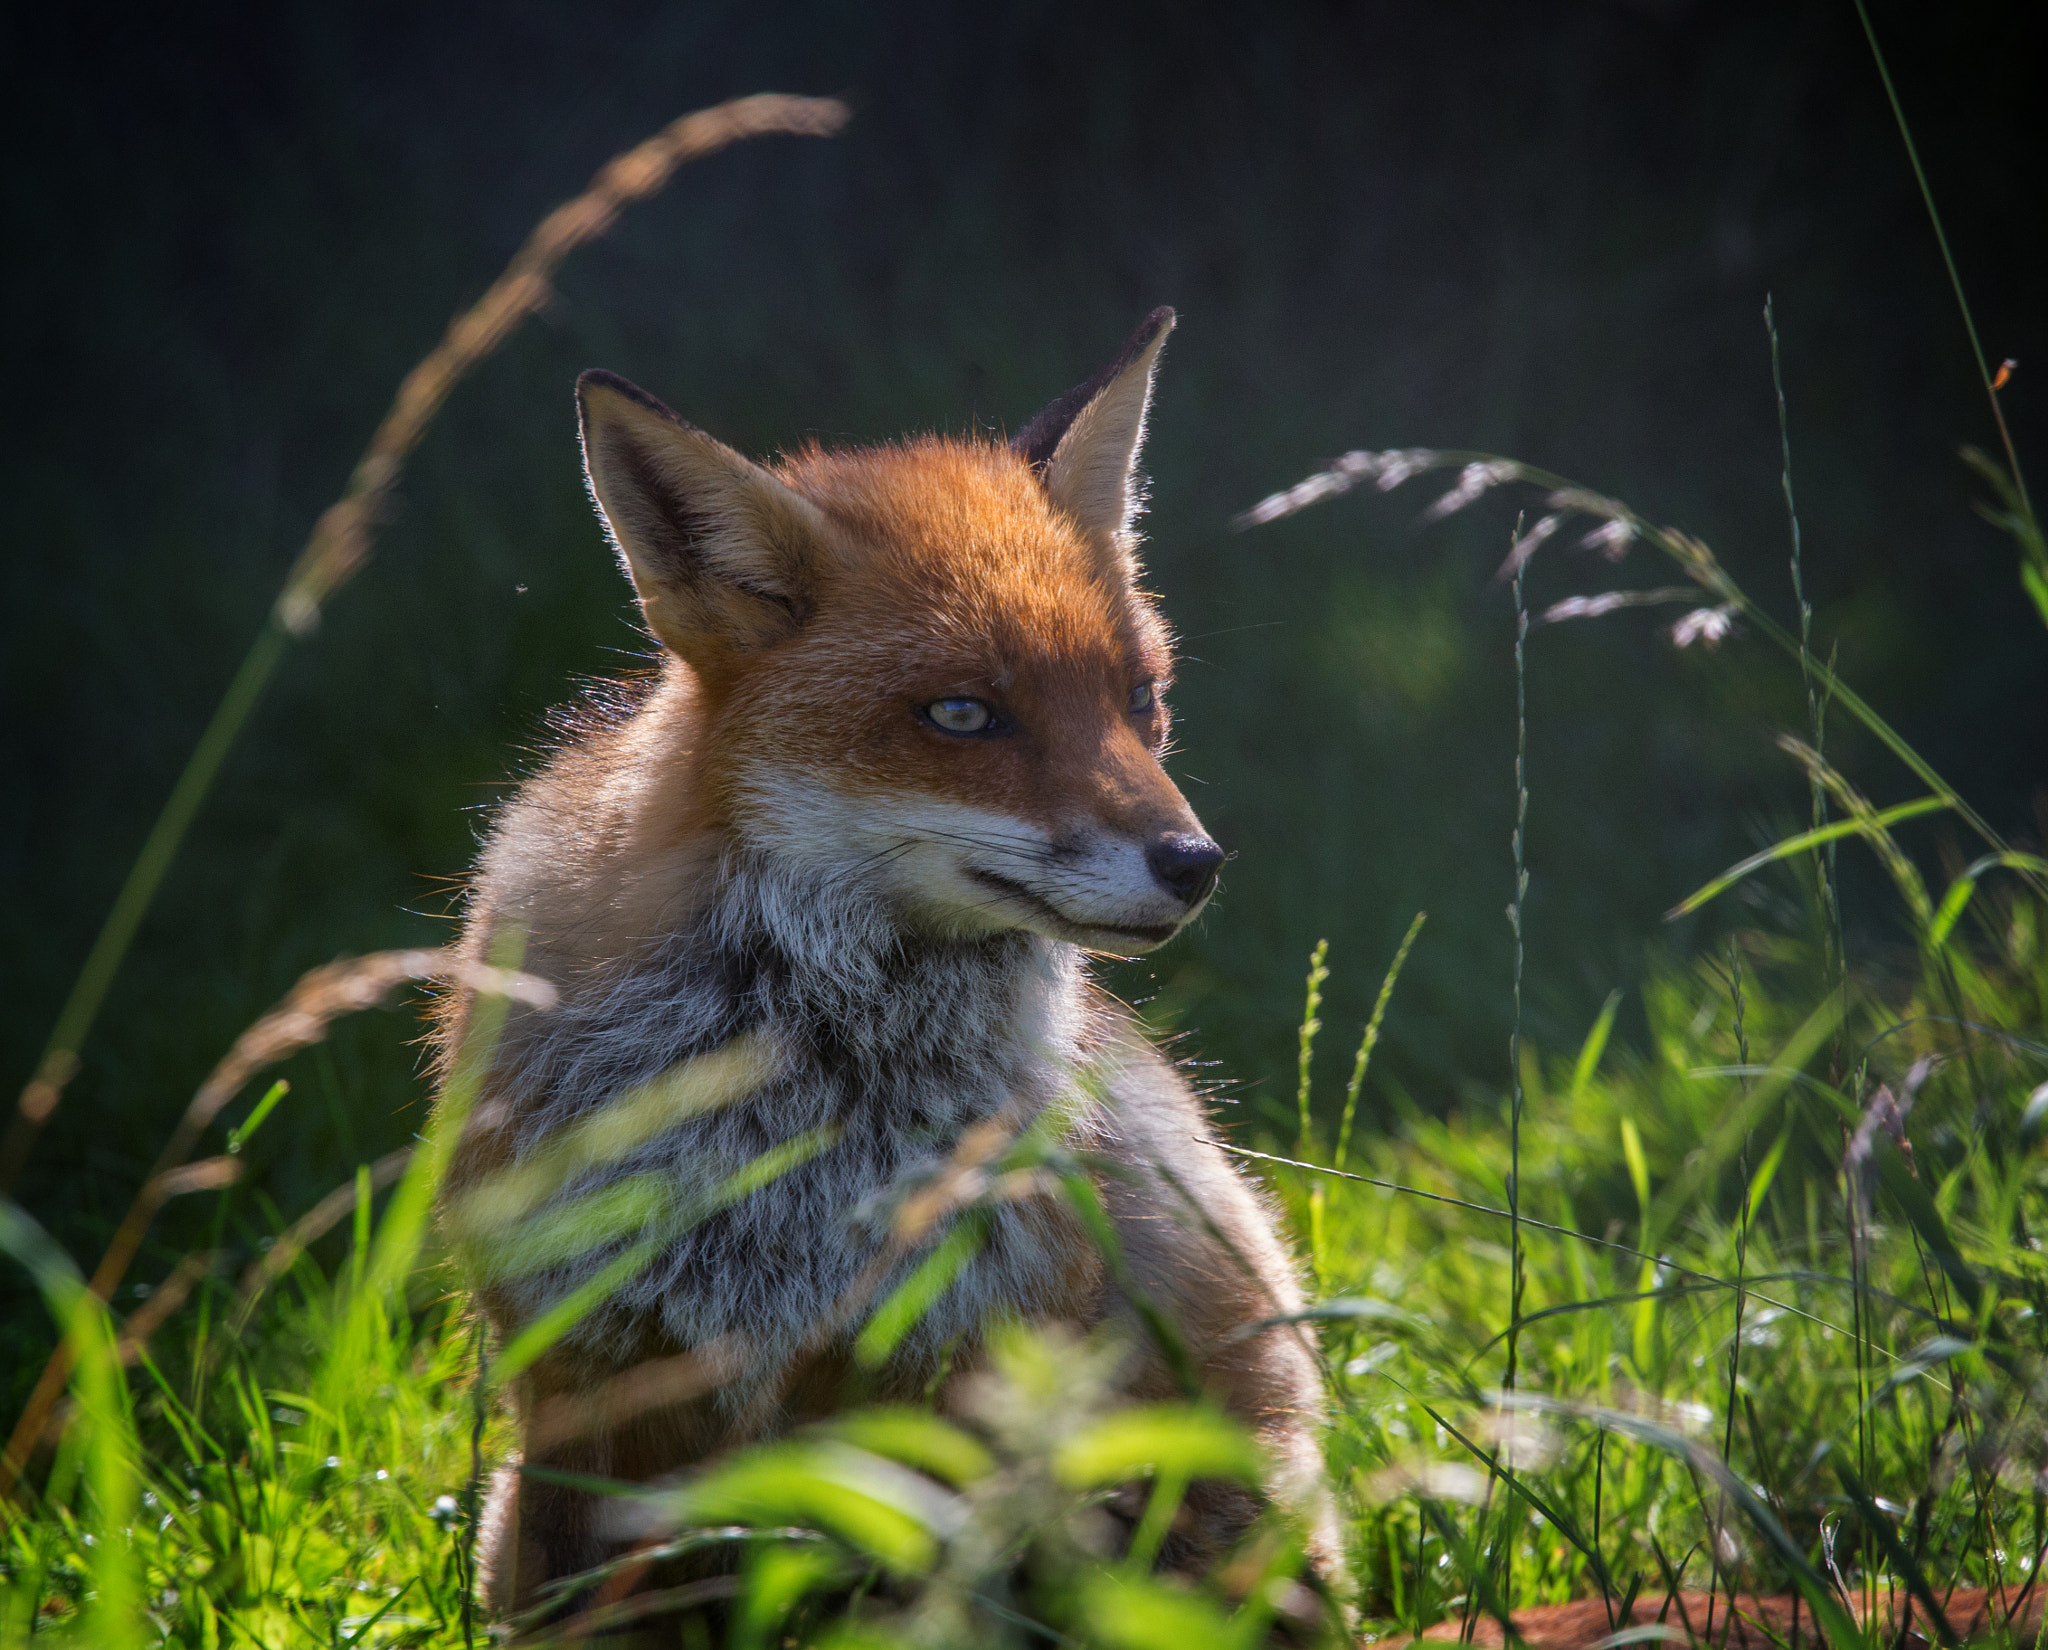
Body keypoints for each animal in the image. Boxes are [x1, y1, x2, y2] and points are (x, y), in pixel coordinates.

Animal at [430, 307, 1327, 1613]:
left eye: (1138, 698)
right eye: (961, 715)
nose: (1194, 863)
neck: (805, 1086)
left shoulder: (934, 1366)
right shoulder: (588, 1360)